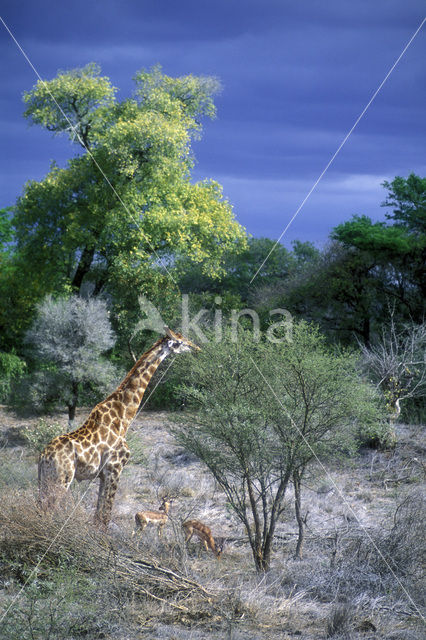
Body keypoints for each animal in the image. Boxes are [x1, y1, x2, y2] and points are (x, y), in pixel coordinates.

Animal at [38, 328, 198, 528]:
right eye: (181, 341)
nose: (196, 348)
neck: (124, 417)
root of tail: (43, 456)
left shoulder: (103, 475)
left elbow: (98, 517)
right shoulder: (115, 468)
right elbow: (105, 517)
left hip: (45, 480)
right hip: (62, 479)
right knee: (48, 512)